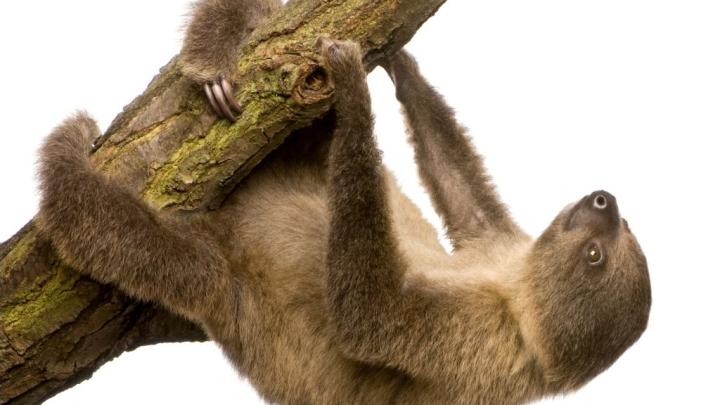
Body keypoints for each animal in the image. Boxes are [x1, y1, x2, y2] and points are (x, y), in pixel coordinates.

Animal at [35, 2, 651, 403]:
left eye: (597, 256)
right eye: (624, 231)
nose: (606, 199)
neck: (509, 292)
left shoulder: (478, 342)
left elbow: (368, 318)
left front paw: (355, 88)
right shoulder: (501, 249)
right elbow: (466, 201)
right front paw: (400, 62)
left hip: (221, 279)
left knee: (140, 243)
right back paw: (219, 57)